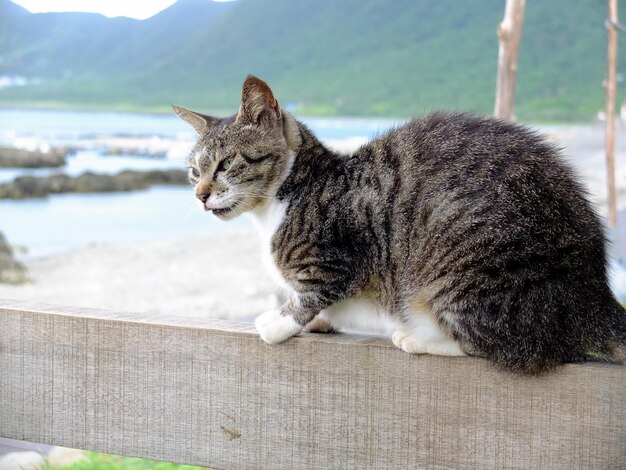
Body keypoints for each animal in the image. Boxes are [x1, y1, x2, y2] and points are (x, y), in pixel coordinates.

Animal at [173, 75, 624, 372]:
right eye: (194, 172)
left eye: (226, 164)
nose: (200, 195)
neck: (281, 202)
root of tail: (595, 296)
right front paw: (319, 321)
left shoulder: (334, 259)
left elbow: (311, 293)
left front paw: (280, 323)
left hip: (463, 272)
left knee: (513, 348)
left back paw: (419, 338)